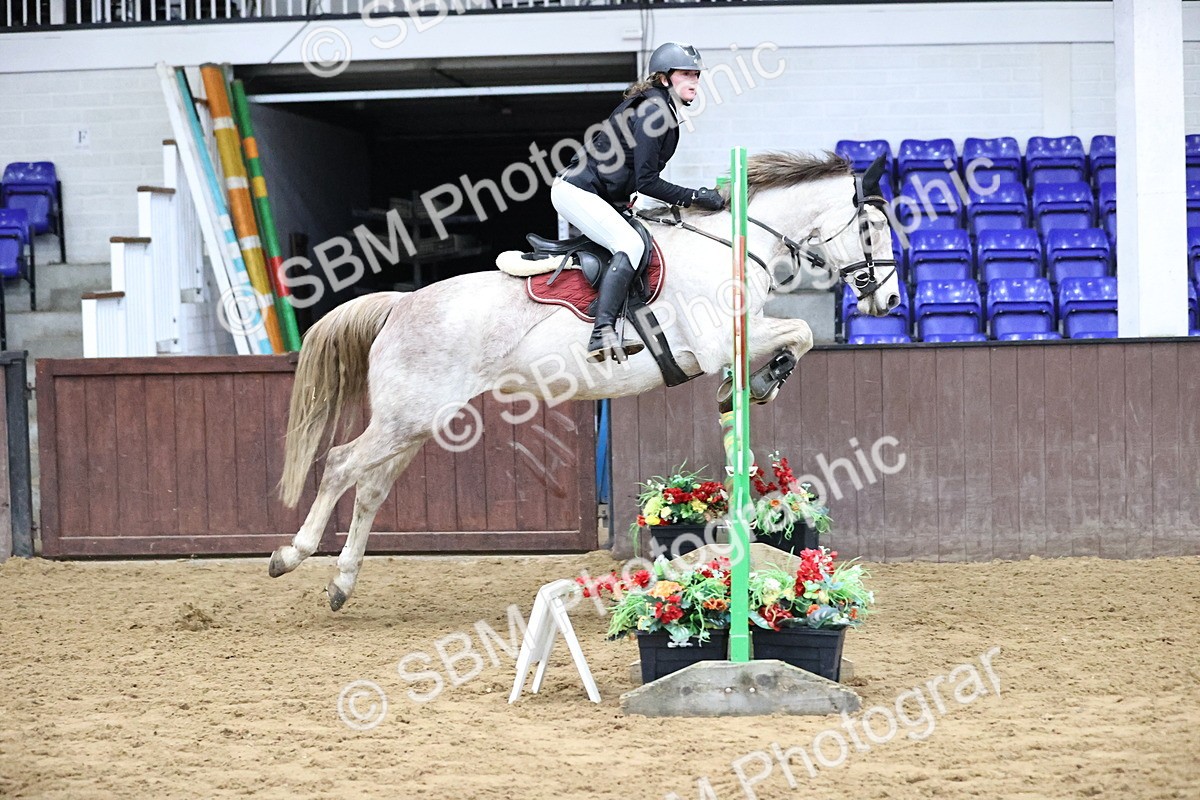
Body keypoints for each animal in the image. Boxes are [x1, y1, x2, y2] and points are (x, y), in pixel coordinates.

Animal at [269, 151, 901, 610]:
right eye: (872, 226)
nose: (890, 300)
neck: (729, 245)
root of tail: (399, 305)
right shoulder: (721, 340)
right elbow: (802, 330)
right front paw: (764, 378)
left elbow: (794, 338)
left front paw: (758, 383)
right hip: (406, 418)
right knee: (341, 465)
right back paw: (291, 556)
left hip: (417, 421)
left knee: (371, 489)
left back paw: (342, 584)